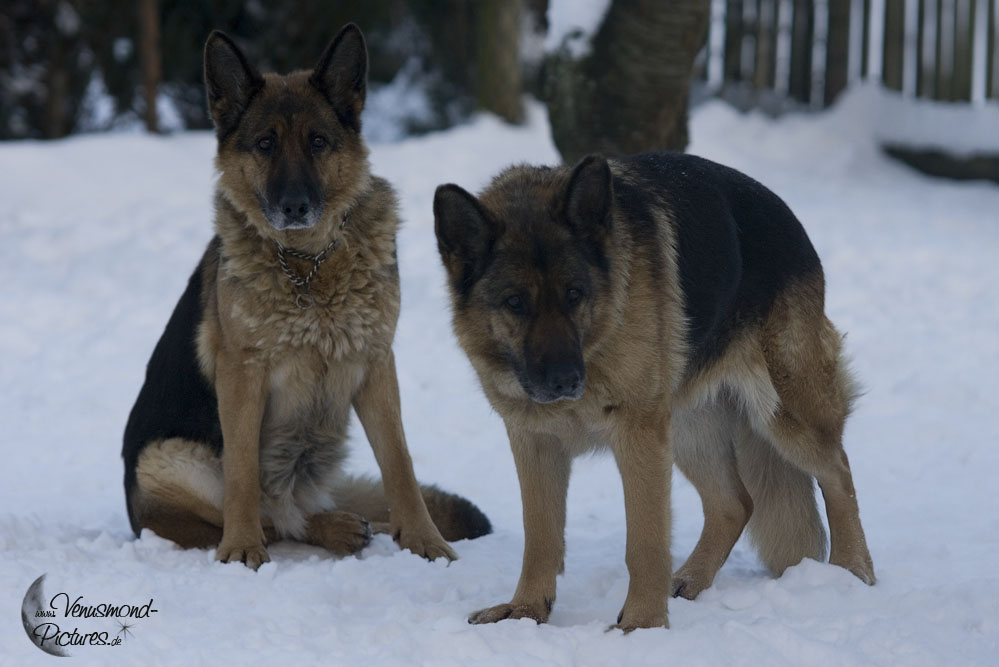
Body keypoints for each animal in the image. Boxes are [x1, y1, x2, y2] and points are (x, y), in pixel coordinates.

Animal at [123, 24, 490, 568]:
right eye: (265, 144)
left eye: (317, 142)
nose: (294, 206)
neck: (308, 264)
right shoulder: (242, 374)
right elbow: (242, 476)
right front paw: (240, 548)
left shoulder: (376, 362)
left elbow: (399, 464)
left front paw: (424, 540)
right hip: (167, 458)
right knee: (271, 516)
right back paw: (324, 528)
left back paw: (367, 526)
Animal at [438, 151, 876, 632]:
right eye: (515, 302)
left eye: (575, 294)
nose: (566, 382)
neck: (598, 337)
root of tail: (790, 221)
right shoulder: (535, 442)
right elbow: (540, 539)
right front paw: (526, 612)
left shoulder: (638, 436)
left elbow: (645, 544)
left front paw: (641, 626)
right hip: (689, 428)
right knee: (735, 504)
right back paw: (689, 580)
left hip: (784, 412)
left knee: (838, 472)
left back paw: (854, 570)